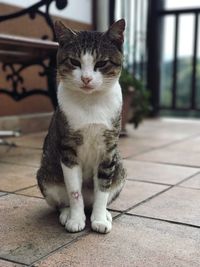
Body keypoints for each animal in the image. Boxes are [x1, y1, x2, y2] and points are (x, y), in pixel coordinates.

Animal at [36, 18, 126, 233]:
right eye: (74, 62)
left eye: (101, 63)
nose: (86, 78)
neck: (90, 103)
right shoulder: (68, 148)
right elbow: (74, 191)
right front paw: (76, 219)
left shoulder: (108, 149)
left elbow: (103, 187)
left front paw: (99, 219)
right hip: (46, 175)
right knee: (64, 200)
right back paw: (67, 213)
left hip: (120, 170)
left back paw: (103, 213)